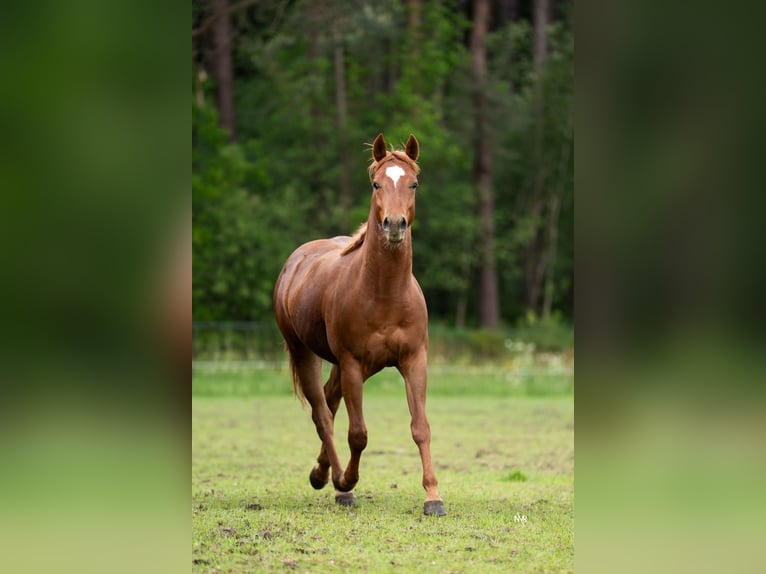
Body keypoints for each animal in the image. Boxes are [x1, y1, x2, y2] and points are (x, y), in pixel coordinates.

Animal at [273, 133, 446, 516]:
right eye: (376, 183)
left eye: (413, 184)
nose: (394, 225)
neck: (385, 293)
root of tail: (296, 261)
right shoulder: (352, 363)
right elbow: (358, 434)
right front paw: (347, 481)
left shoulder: (414, 360)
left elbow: (421, 427)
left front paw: (433, 496)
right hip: (307, 354)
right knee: (323, 414)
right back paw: (339, 484)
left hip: (349, 365)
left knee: (330, 400)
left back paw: (322, 473)